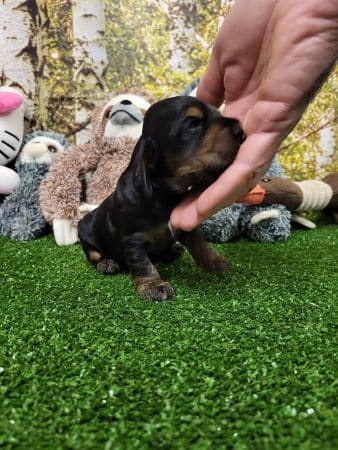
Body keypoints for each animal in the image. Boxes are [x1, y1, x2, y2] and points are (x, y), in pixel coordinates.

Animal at [78, 96, 244, 300]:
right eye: (193, 123)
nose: (241, 132)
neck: (165, 192)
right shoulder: (133, 240)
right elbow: (143, 264)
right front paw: (154, 286)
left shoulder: (183, 226)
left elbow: (199, 243)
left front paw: (213, 261)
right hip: (86, 232)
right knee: (94, 255)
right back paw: (107, 263)